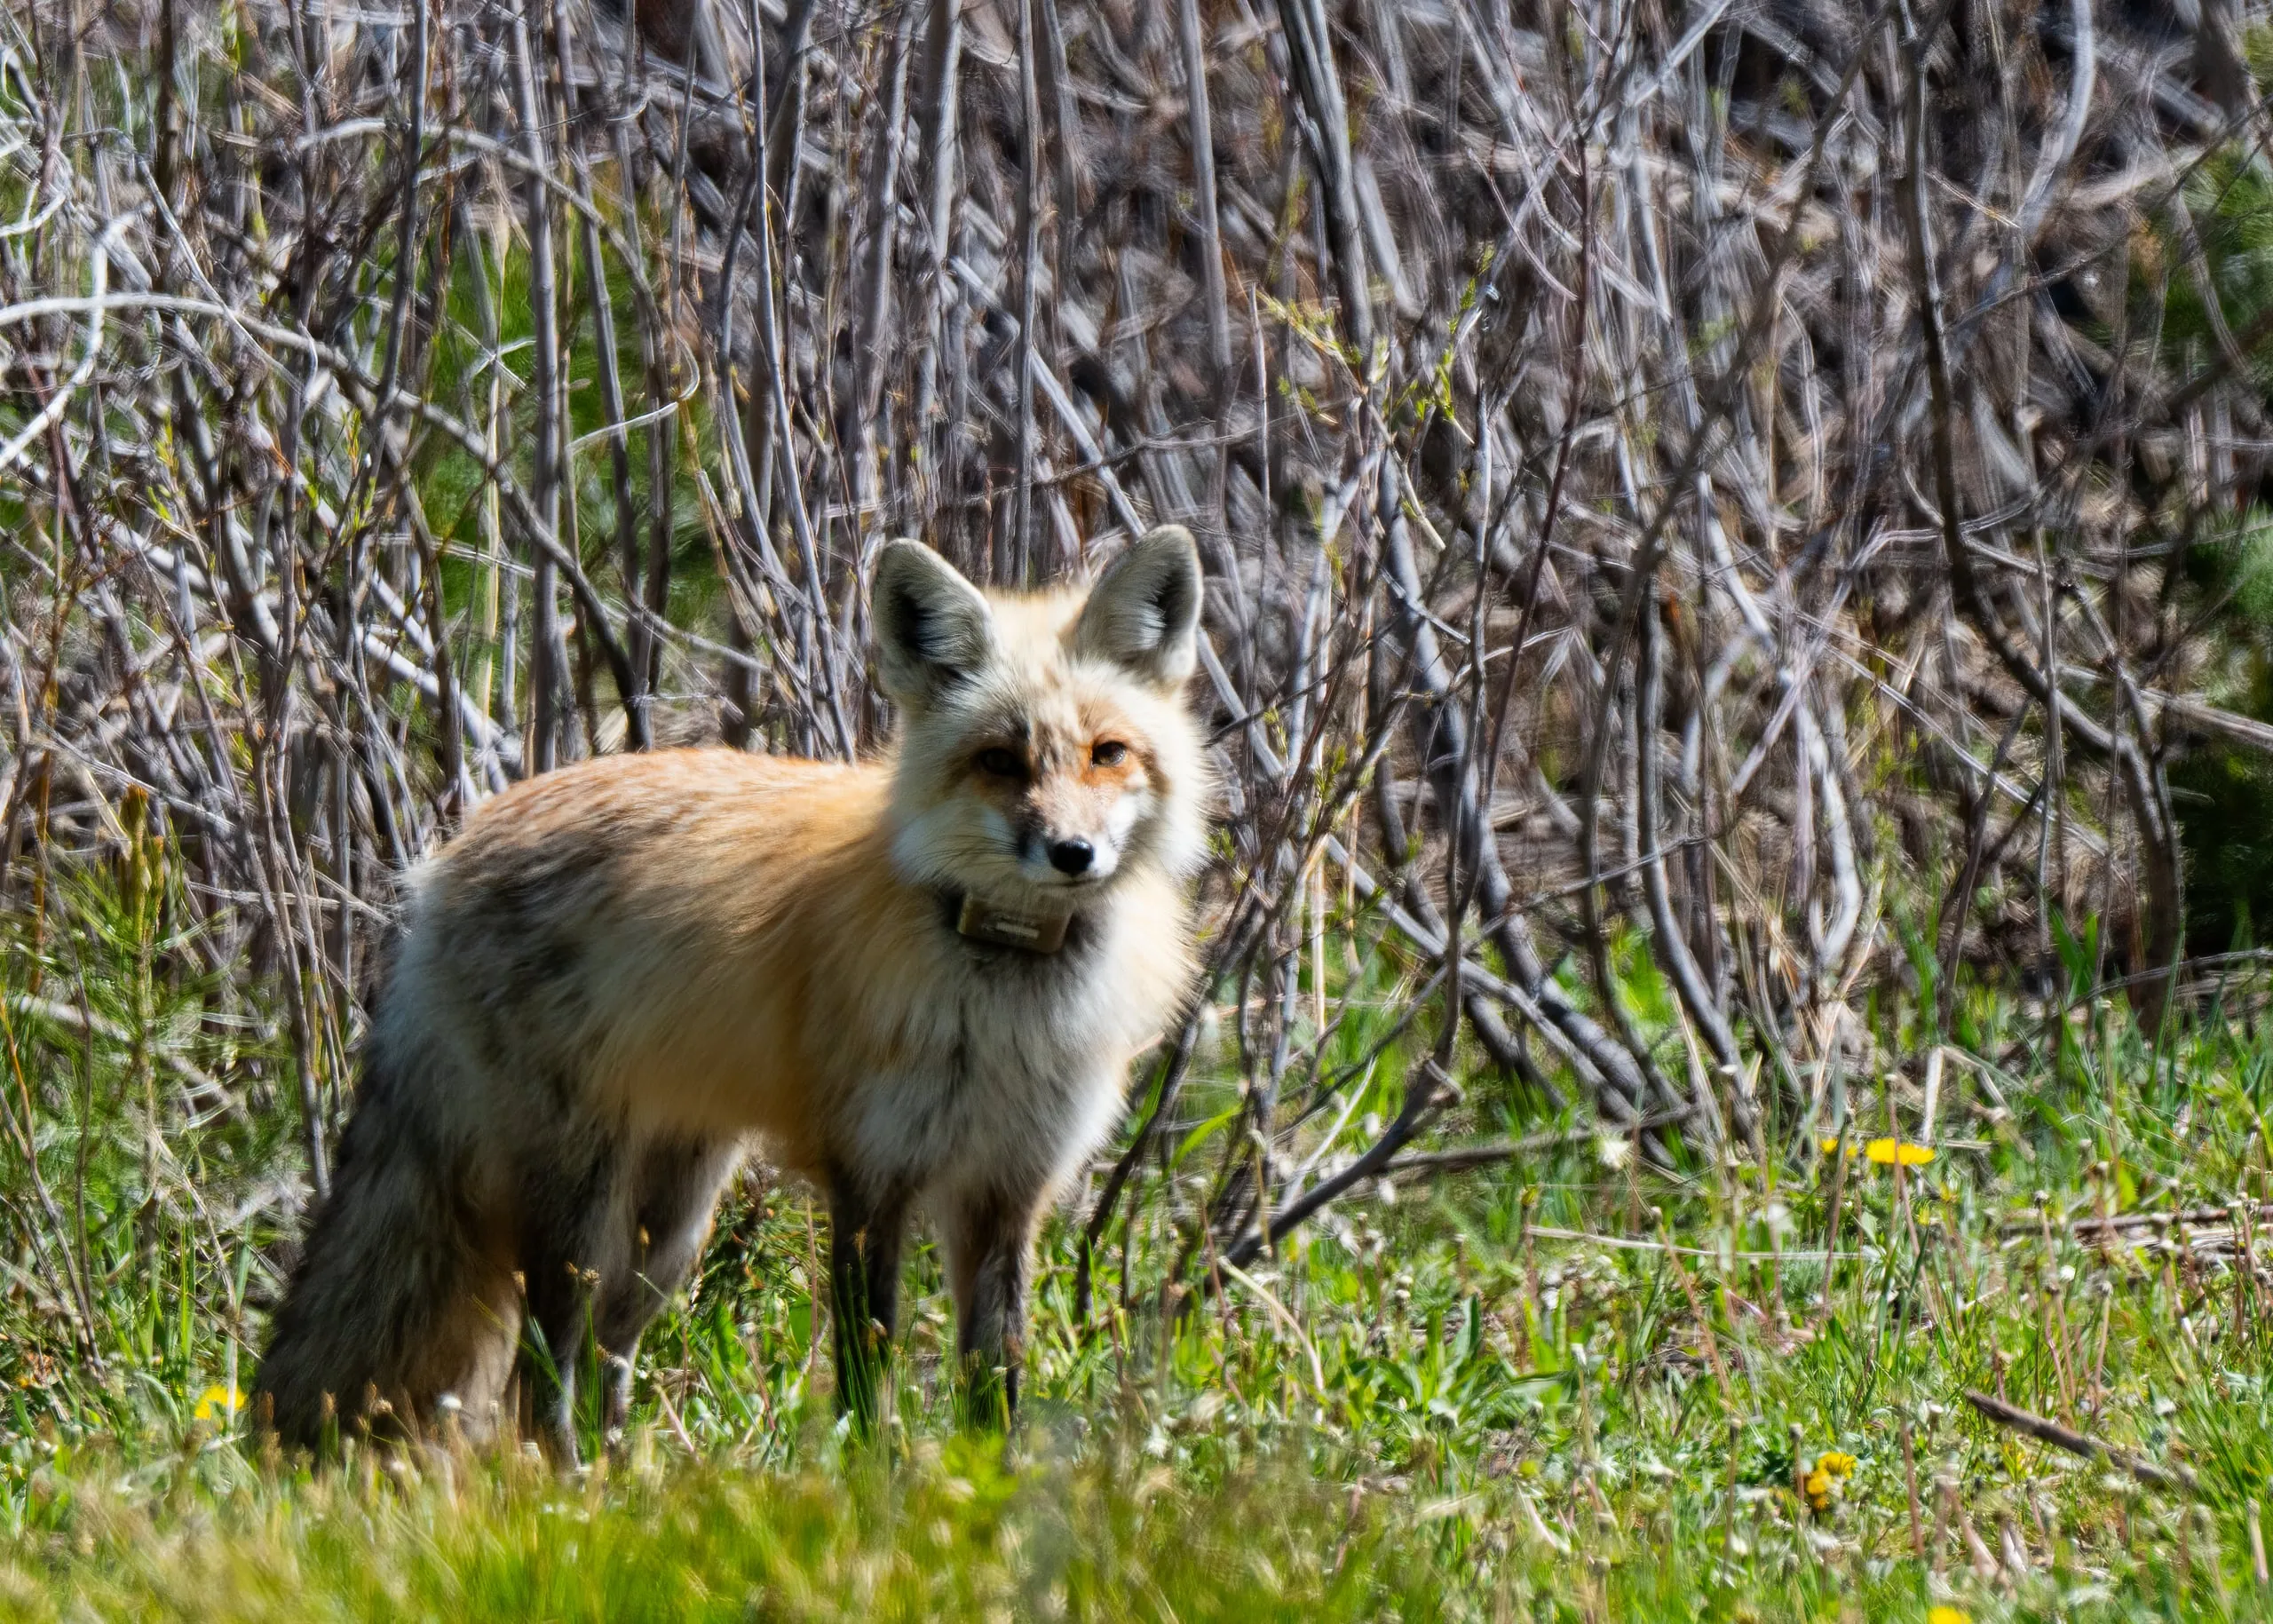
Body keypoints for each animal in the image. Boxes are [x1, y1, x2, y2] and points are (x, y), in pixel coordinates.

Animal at [253, 526, 1209, 1455]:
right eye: (1000, 761)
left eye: (1107, 753)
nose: (1073, 854)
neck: (1005, 997)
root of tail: (445, 858)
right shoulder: (869, 1178)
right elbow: (864, 1377)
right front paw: (871, 1490)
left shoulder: (1009, 1189)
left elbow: (994, 1387)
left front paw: (991, 1492)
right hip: (578, 1206)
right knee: (539, 1382)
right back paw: (566, 1493)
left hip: (669, 1227)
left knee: (602, 1369)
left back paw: (619, 1484)